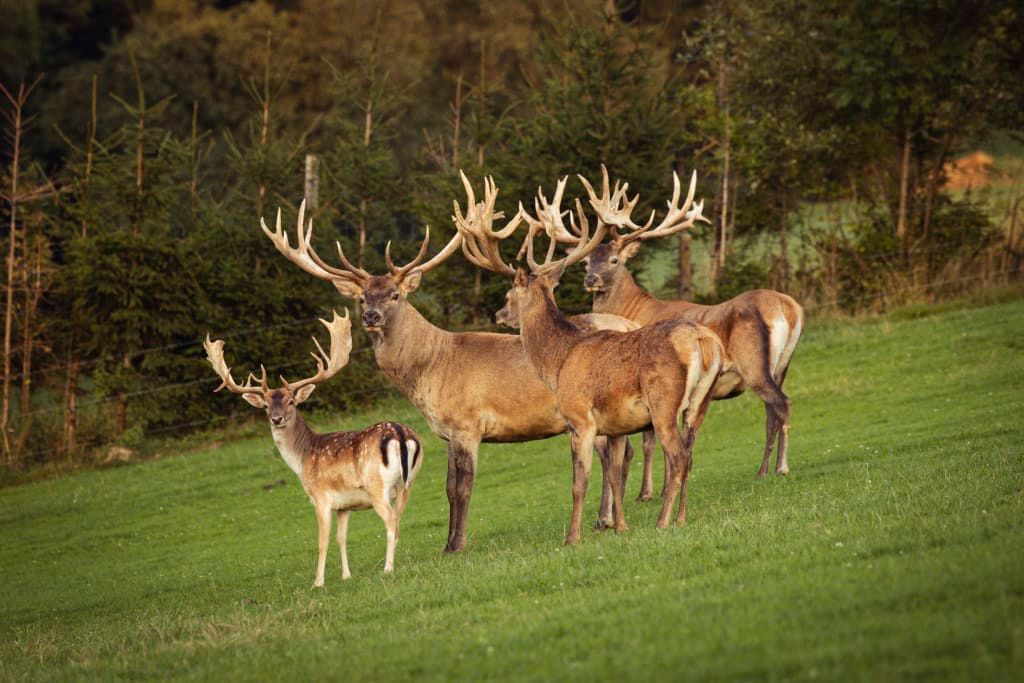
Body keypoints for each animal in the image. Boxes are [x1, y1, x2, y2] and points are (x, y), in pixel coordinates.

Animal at [203, 310, 423, 586]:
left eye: (291, 401)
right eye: (265, 405)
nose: (276, 419)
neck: (303, 458)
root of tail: (400, 434)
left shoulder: (320, 497)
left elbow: (322, 541)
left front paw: (317, 582)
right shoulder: (344, 506)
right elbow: (341, 538)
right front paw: (346, 576)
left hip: (377, 486)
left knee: (391, 520)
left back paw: (387, 568)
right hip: (408, 483)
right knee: (400, 518)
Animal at [260, 194, 645, 551]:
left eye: (395, 294)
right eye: (362, 298)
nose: (371, 316)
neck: (431, 368)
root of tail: (630, 324)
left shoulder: (468, 425)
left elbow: (463, 488)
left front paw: (458, 544)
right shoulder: (445, 433)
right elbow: (447, 488)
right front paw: (446, 544)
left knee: (615, 455)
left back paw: (605, 520)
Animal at [455, 173, 724, 544]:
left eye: (510, 294)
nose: (498, 315)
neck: (558, 360)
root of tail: (702, 340)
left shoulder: (580, 419)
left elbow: (579, 482)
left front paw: (572, 537)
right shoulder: (615, 426)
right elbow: (614, 472)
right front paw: (619, 525)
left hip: (663, 401)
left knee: (678, 455)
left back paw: (663, 521)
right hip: (701, 401)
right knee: (691, 453)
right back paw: (681, 518)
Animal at [532, 166, 804, 479]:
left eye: (614, 260)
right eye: (586, 262)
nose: (591, 280)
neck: (632, 308)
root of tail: (790, 309)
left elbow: (648, 441)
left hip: (753, 362)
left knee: (781, 404)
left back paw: (779, 466)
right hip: (782, 365)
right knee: (773, 410)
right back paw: (766, 468)